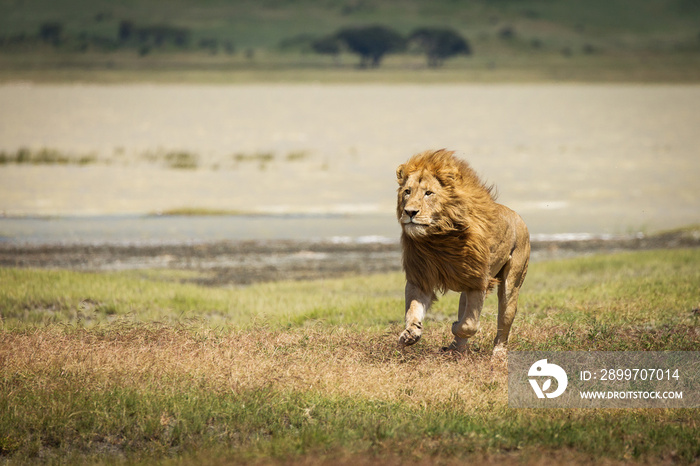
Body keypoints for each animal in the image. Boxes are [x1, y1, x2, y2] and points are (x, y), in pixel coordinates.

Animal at [396, 148, 528, 354]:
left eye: (428, 193)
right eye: (407, 192)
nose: (410, 212)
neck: (439, 238)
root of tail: (517, 216)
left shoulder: (478, 282)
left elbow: (469, 325)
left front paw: (455, 327)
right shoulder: (420, 277)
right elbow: (413, 309)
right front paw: (411, 333)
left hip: (511, 285)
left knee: (504, 324)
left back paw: (497, 355)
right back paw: (455, 350)